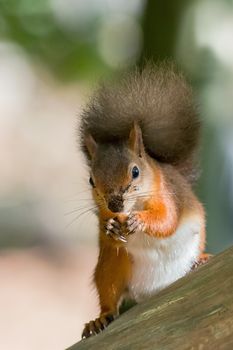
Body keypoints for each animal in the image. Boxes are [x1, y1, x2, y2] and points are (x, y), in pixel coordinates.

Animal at [79, 63, 210, 340]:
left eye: (136, 171)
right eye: (91, 180)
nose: (115, 205)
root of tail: (154, 291)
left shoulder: (169, 196)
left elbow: (167, 220)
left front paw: (139, 221)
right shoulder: (102, 213)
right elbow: (106, 230)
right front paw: (110, 228)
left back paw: (200, 261)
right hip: (111, 266)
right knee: (109, 295)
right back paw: (100, 319)